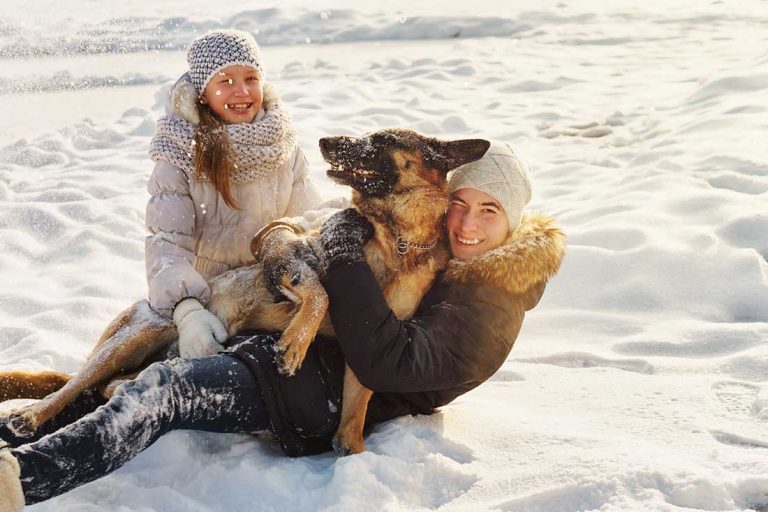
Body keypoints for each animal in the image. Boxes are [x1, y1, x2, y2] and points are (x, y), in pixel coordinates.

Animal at [0, 129, 488, 456]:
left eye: (381, 138)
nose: (325, 140)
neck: (395, 240)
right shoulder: (292, 255)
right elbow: (319, 294)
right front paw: (294, 344)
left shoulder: (370, 343)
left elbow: (356, 407)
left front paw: (351, 454)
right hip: (135, 336)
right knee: (71, 387)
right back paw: (29, 415)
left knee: (110, 386)